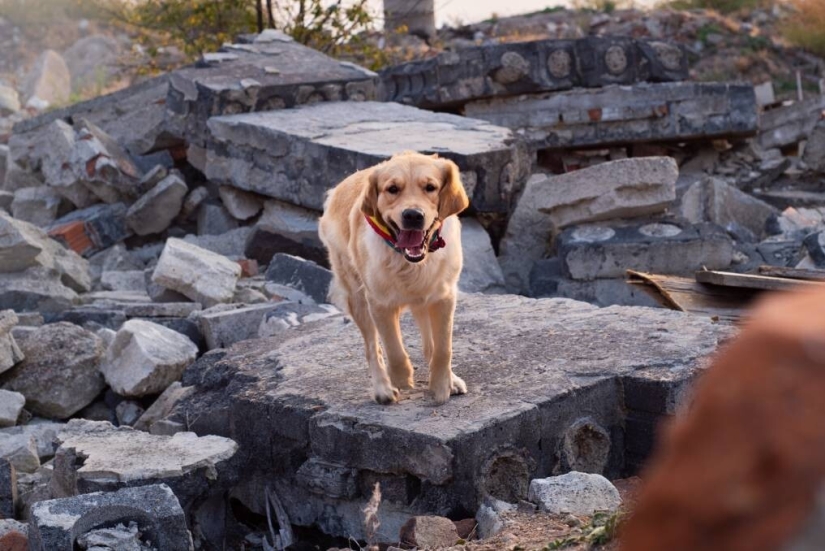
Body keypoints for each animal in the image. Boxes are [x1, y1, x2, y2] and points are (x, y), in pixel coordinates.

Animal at [318, 151, 466, 406]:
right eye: (392, 189)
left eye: (430, 187)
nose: (413, 215)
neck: (409, 262)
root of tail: (336, 190)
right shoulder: (378, 303)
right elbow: (392, 348)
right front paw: (401, 378)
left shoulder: (443, 297)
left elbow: (443, 348)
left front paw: (441, 385)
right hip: (357, 298)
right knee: (372, 348)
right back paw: (383, 389)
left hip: (424, 301)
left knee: (430, 344)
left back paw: (451, 379)